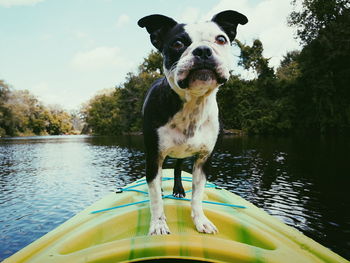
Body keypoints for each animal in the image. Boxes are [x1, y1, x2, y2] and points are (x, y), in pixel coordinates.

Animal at [138, 9, 247, 235]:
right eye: (178, 43)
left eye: (221, 39)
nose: (203, 50)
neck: (193, 104)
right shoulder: (153, 156)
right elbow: (155, 198)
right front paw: (159, 223)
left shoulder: (204, 161)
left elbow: (198, 195)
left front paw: (200, 220)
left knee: (178, 167)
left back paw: (179, 189)